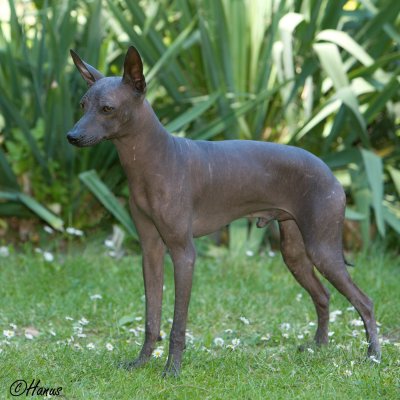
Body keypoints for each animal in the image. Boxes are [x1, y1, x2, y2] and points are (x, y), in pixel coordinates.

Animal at [68, 46, 382, 376]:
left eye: (107, 108)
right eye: (82, 105)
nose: (71, 136)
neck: (153, 161)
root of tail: (332, 174)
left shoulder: (183, 253)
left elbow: (178, 322)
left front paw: (172, 370)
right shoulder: (150, 250)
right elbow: (152, 315)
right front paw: (141, 361)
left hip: (322, 249)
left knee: (365, 302)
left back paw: (372, 354)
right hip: (295, 252)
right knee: (323, 295)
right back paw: (318, 347)